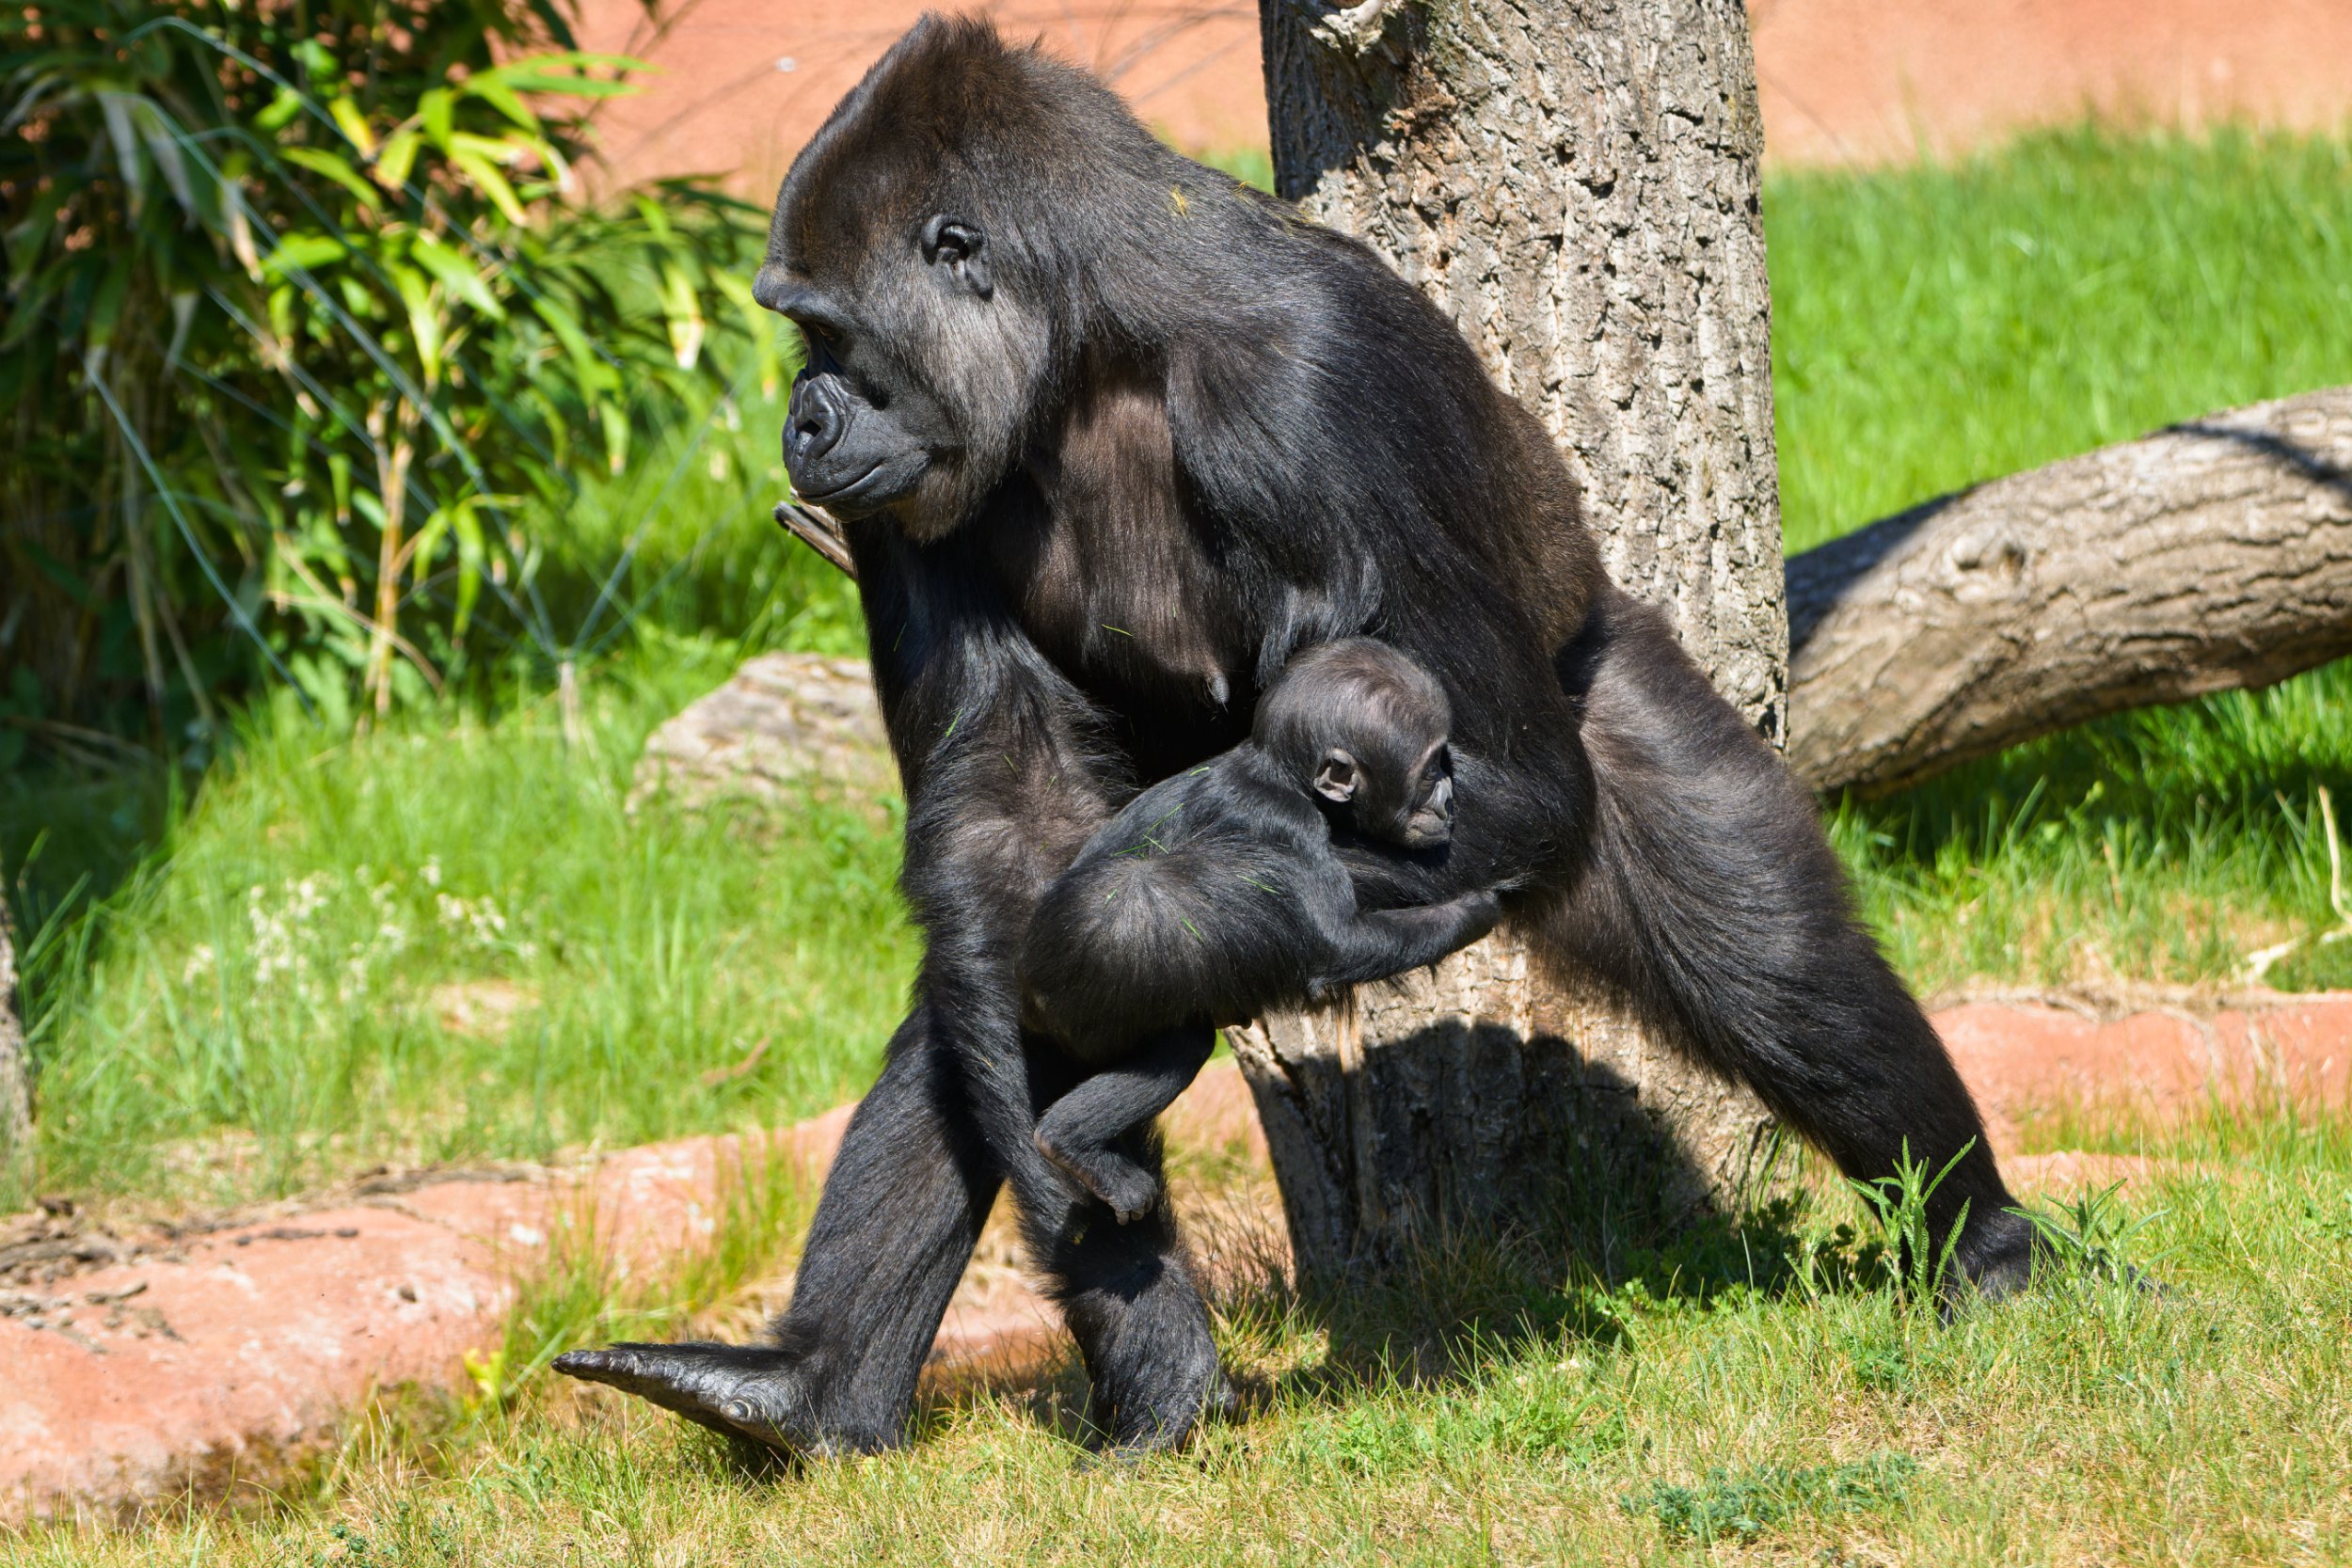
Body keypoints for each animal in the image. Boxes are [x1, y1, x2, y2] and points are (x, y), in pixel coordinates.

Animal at [1025, 639, 1505, 1222]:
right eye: (1430, 768)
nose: (1449, 797)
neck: (1284, 777)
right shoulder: (1290, 826)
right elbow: (1337, 943)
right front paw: (1478, 909)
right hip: (1087, 1008)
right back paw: (1071, 1143)